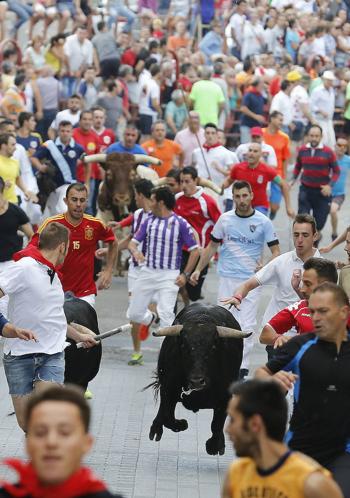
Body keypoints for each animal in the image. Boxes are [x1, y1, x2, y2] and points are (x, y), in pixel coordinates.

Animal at [148, 304, 246, 456]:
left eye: (213, 347)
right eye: (184, 346)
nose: (197, 381)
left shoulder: (225, 397)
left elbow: (217, 423)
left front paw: (214, 445)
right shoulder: (168, 389)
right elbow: (167, 416)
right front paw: (181, 424)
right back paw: (156, 428)